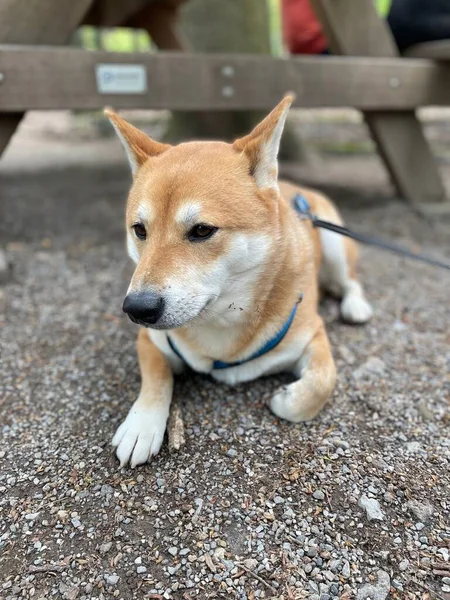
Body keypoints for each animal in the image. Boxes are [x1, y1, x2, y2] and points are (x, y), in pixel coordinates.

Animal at [106, 96, 372, 466]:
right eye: (140, 230)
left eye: (202, 230)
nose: (137, 308)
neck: (222, 325)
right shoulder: (151, 340)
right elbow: (156, 377)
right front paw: (142, 423)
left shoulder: (313, 335)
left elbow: (319, 384)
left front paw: (285, 399)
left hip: (334, 243)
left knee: (351, 281)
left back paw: (356, 305)